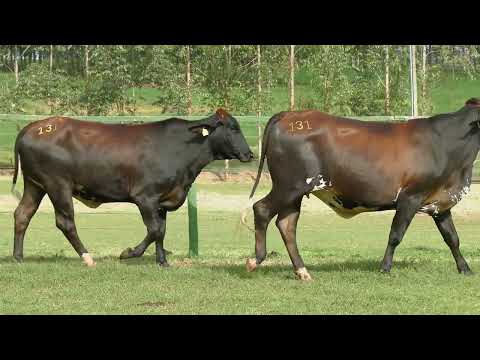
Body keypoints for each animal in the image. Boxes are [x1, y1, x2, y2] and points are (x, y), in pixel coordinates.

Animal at [11, 108, 253, 266]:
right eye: (233, 128)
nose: (249, 153)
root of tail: (33, 127)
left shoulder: (163, 200)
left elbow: (161, 230)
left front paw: (162, 261)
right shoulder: (145, 197)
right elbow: (154, 229)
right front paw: (128, 253)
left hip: (35, 184)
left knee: (23, 214)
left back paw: (18, 256)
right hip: (57, 184)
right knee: (65, 222)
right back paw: (87, 258)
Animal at [246, 98, 480, 282]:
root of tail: (291, 114)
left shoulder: (440, 202)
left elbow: (452, 238)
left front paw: (465, 269)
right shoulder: (410, 197)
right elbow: (395, 235)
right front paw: (385, 268)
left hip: (295, 192)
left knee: (287, 224)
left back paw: (302, 271)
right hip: (289, 185)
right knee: (262, 209)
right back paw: (255, 260)